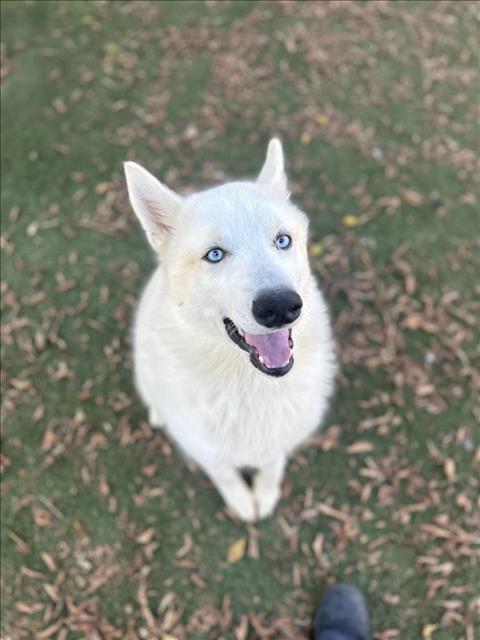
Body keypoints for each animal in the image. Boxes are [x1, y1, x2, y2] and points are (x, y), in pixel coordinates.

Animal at [124, 140, 334, 520]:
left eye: (282, 241)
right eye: (215, 255)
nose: (280, 306)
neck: (248, 386)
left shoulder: (279, 435)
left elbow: (272, 464)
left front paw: (264, 494)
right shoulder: (205, 448)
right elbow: (224, 474)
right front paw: (242, 501)